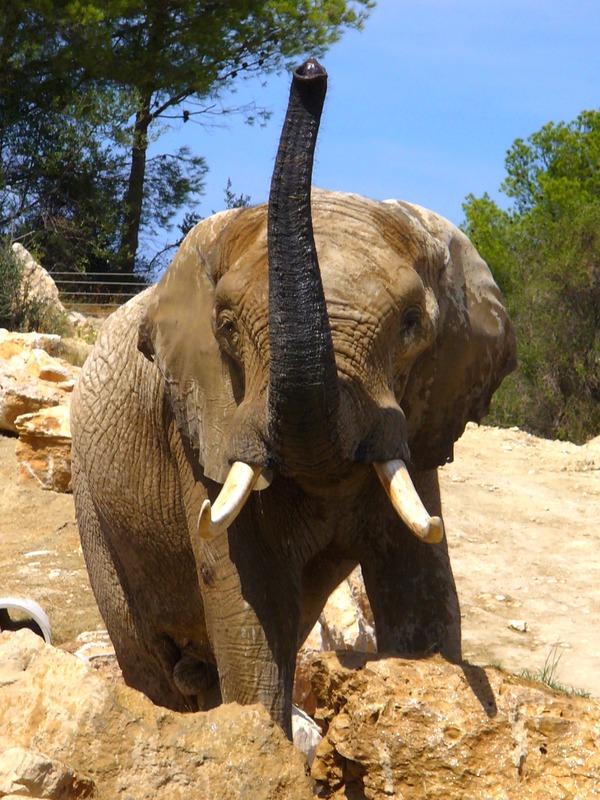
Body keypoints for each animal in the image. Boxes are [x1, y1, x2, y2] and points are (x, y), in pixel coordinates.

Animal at [69, 59, 516, 740]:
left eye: (413, 325)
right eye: (227, 327)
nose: (309, 71)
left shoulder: (418, 428)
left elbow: (421, 588)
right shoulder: (201, 425)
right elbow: (246, 596)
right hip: (94, 503)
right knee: (151, 660)